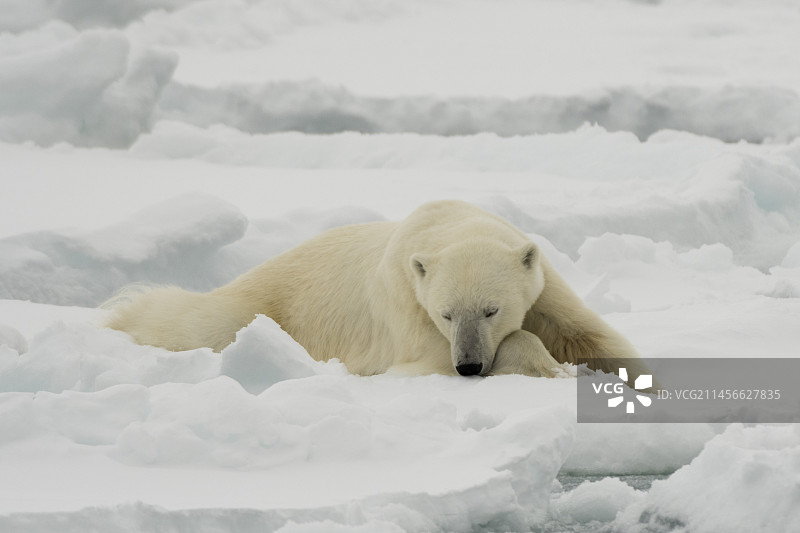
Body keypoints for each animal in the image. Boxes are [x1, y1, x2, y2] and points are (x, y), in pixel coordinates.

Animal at [106, 200, 647, 379]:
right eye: (447, 314)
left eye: (491, 309)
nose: (469, 366)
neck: (447, 220)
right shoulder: (406, 303)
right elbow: (427, 357)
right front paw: (548, 368)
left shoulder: (545, 287)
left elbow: (587, 334)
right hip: (258, 305)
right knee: (193, 319)